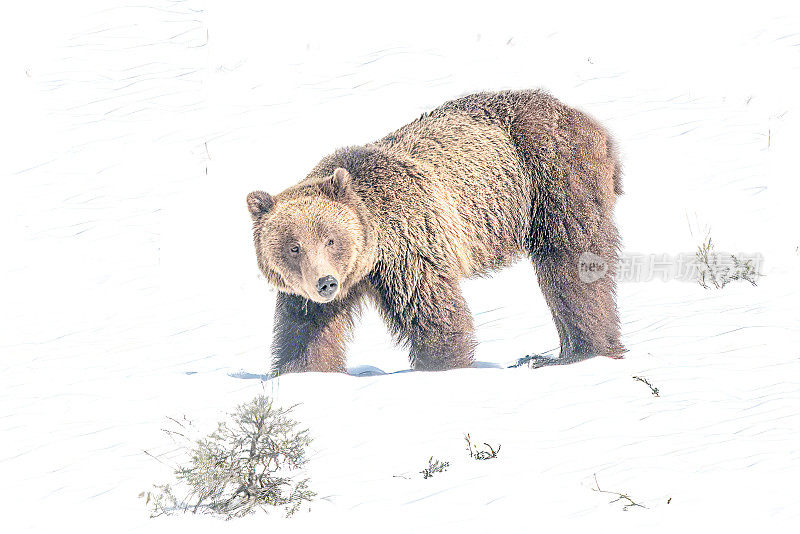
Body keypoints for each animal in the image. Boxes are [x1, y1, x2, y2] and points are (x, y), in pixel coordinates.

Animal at [247, 91, 620, 376]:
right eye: (294, 247)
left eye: (331, 239)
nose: (326, 283)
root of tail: (585, 118)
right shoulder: (309, 291)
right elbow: (306, 331)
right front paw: (302, 373)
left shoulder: (408, 247)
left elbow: (431, 311)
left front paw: (440, 367)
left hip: (550, 177)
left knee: (571, 263)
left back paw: (581, 352)